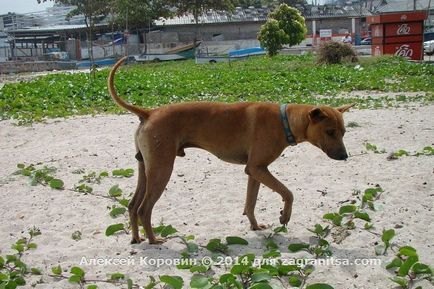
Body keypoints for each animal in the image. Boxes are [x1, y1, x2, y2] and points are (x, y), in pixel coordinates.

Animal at [107, 57, 354, 244]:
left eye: (343, 132)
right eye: (330, 132)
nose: (344, 156)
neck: (284, 120)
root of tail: (149, 112)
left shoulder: (255, 171)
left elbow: (250, 203)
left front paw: (255, 225)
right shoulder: (258, 169)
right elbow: (288, 193)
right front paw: (285, 216)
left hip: (145, 169)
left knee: (133, 205)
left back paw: (137, 238)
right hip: (162, 169)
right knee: (144, 209)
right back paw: (153, 239)